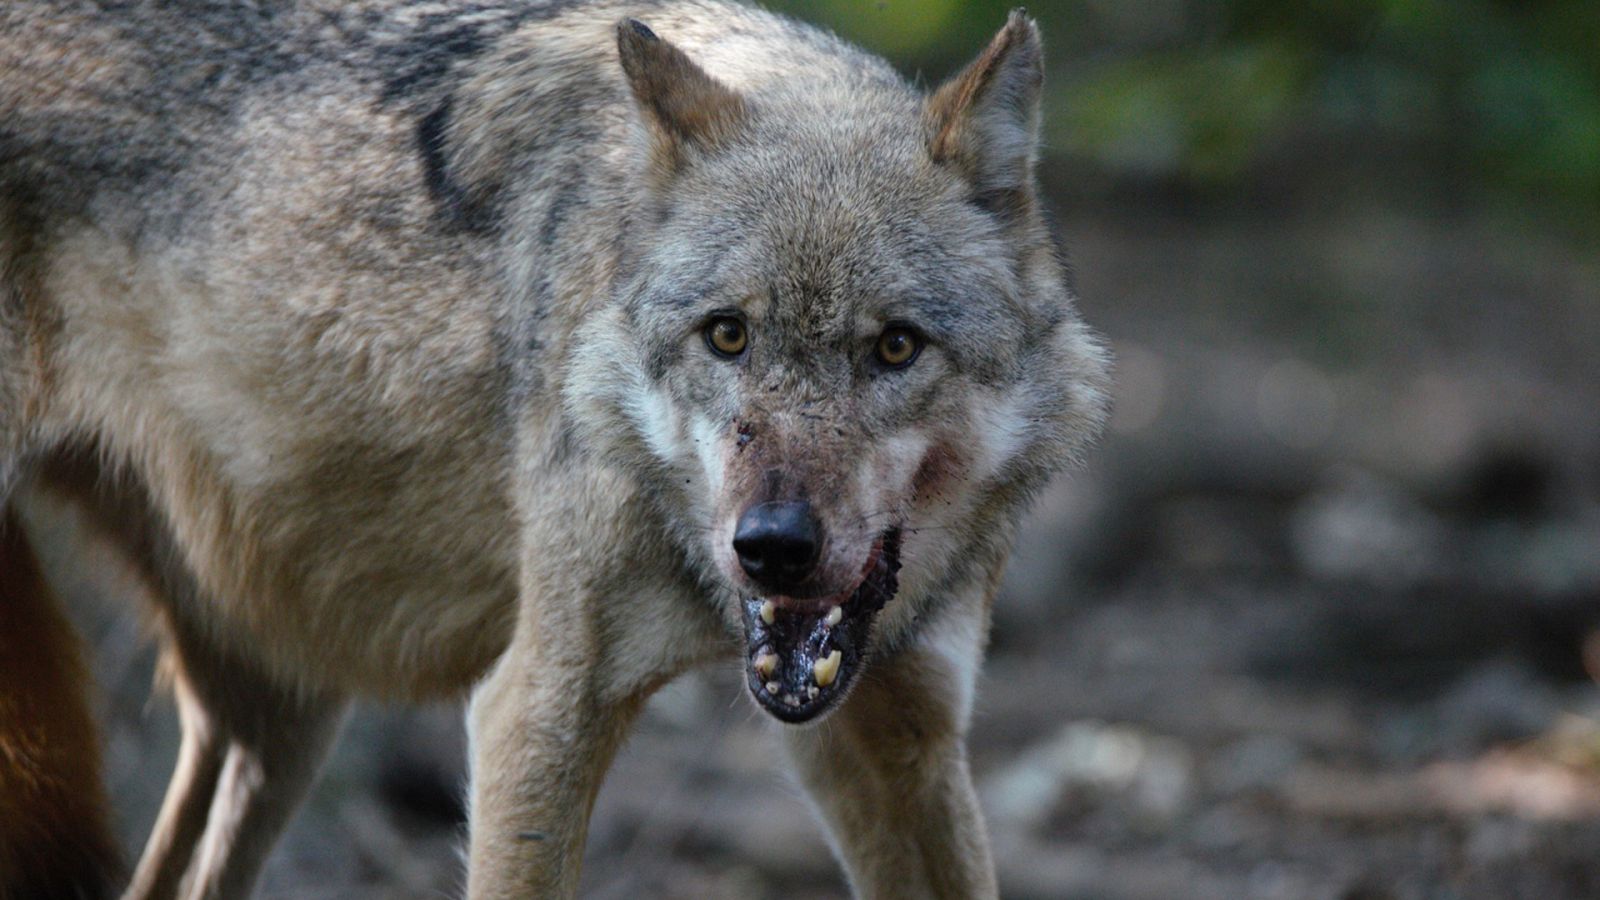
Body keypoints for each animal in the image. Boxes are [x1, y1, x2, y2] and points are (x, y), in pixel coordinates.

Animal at [0, 0, 1110, 896]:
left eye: (895, 347)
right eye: (728, 336)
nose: (771, 548)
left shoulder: (902, 737)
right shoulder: (534, 712)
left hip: (283, 712)